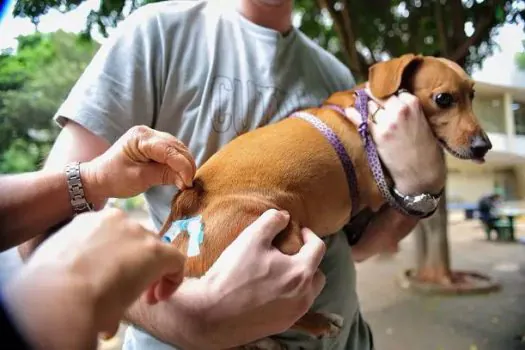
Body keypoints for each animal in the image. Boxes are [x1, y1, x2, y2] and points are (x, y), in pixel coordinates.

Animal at [158, 53, 490, 348]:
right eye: (443, 99)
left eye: (473, 95)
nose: (484, 146)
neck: (366, 109)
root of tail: (187, 208)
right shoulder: (378, 192)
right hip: (285, 239)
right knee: (275, 315)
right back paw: (318, 323)